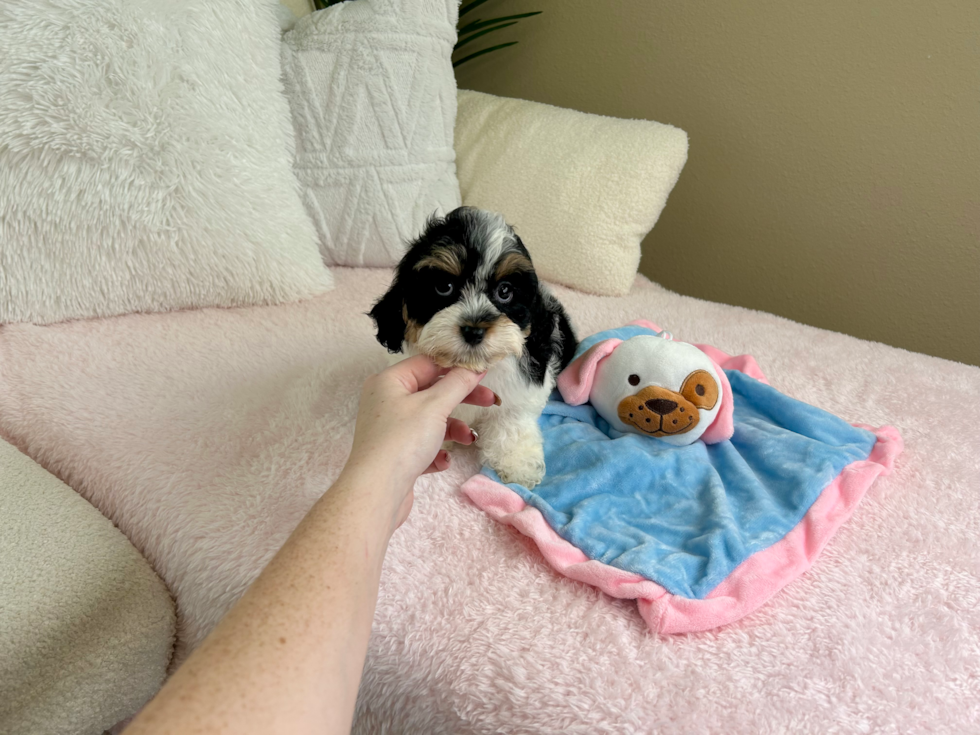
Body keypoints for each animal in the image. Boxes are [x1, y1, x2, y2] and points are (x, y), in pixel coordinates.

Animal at [372, 206, 580, 488]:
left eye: (505, 291)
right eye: (443, 287)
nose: (474, 330)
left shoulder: (522, 389)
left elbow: (511, 419)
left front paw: (517, 463)